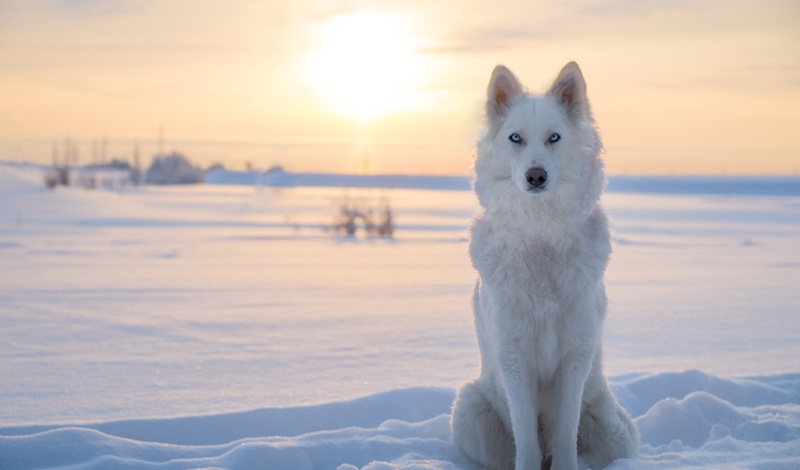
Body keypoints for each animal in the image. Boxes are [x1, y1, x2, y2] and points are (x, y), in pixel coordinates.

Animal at [450, 63, 636, 470]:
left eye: (554, 138)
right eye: (515, 138)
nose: (536, 176)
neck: (541, 238)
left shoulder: (575, 358)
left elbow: (566, 437)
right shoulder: (514, 360)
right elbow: (527, 444)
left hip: (616, 429)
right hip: (469, 410)